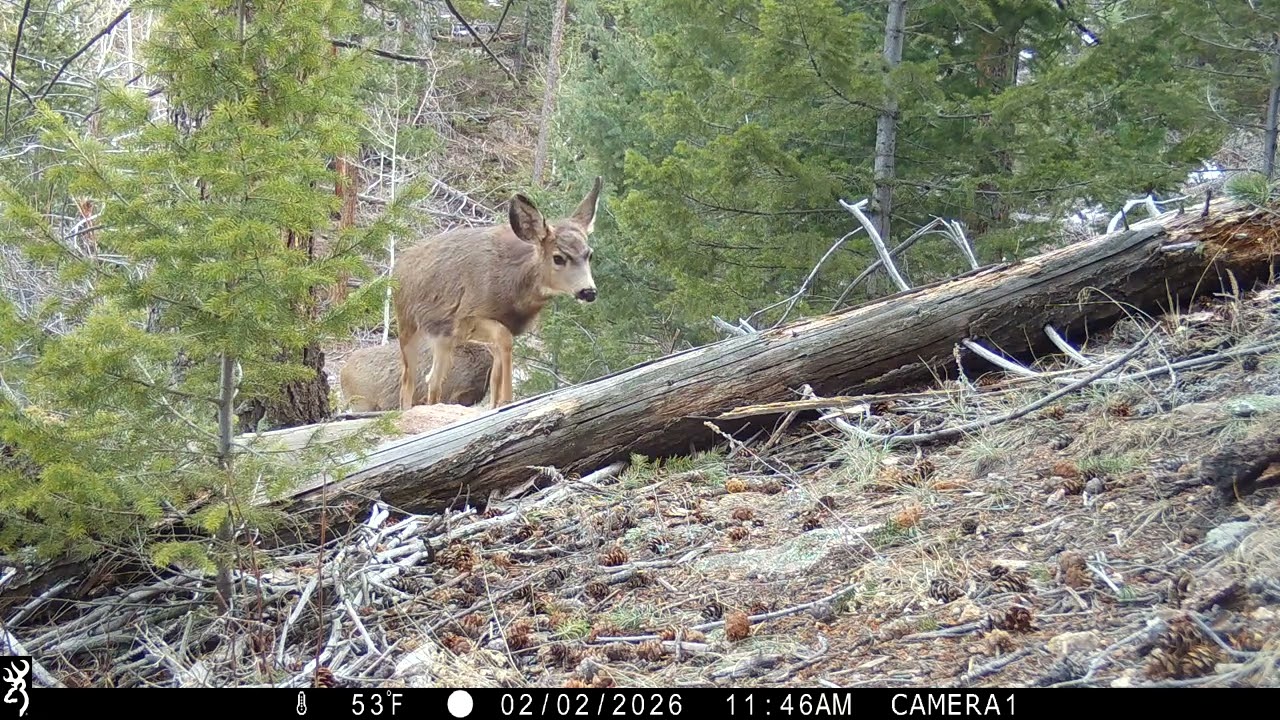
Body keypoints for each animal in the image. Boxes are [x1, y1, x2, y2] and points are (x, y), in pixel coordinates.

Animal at [394, 177, 602, 411]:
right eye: (558, 257)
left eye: (589, 254)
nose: (588, 291)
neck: (513, 290)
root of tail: (398, 265)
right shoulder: (468, 316)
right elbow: (505, 340)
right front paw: (507, 400)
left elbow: (496, 373)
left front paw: (498, 402)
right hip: (409, 324)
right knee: (410, 380)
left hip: (443, 339)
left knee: (433, 379)